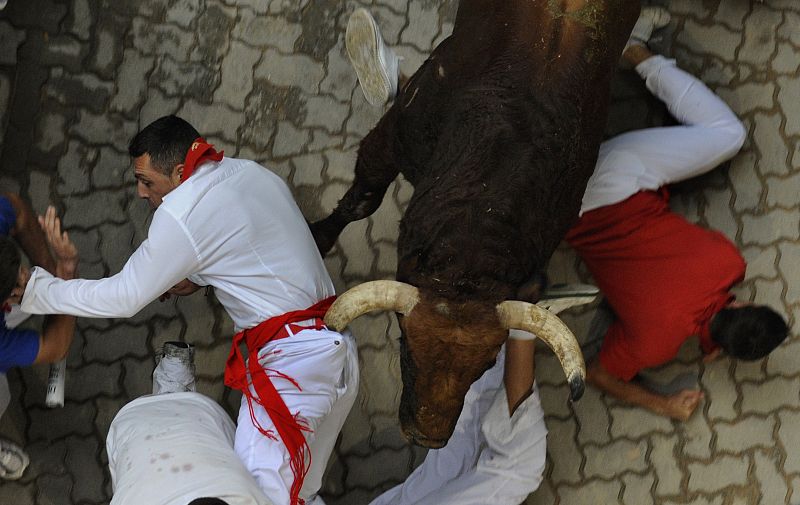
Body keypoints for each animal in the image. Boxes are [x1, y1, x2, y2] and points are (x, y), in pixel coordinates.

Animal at [310, 0, 636, 448]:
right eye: (406, 348)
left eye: (485, 365)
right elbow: (362, 200)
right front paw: (318, 236)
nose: (427, 438)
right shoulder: (393, 137)